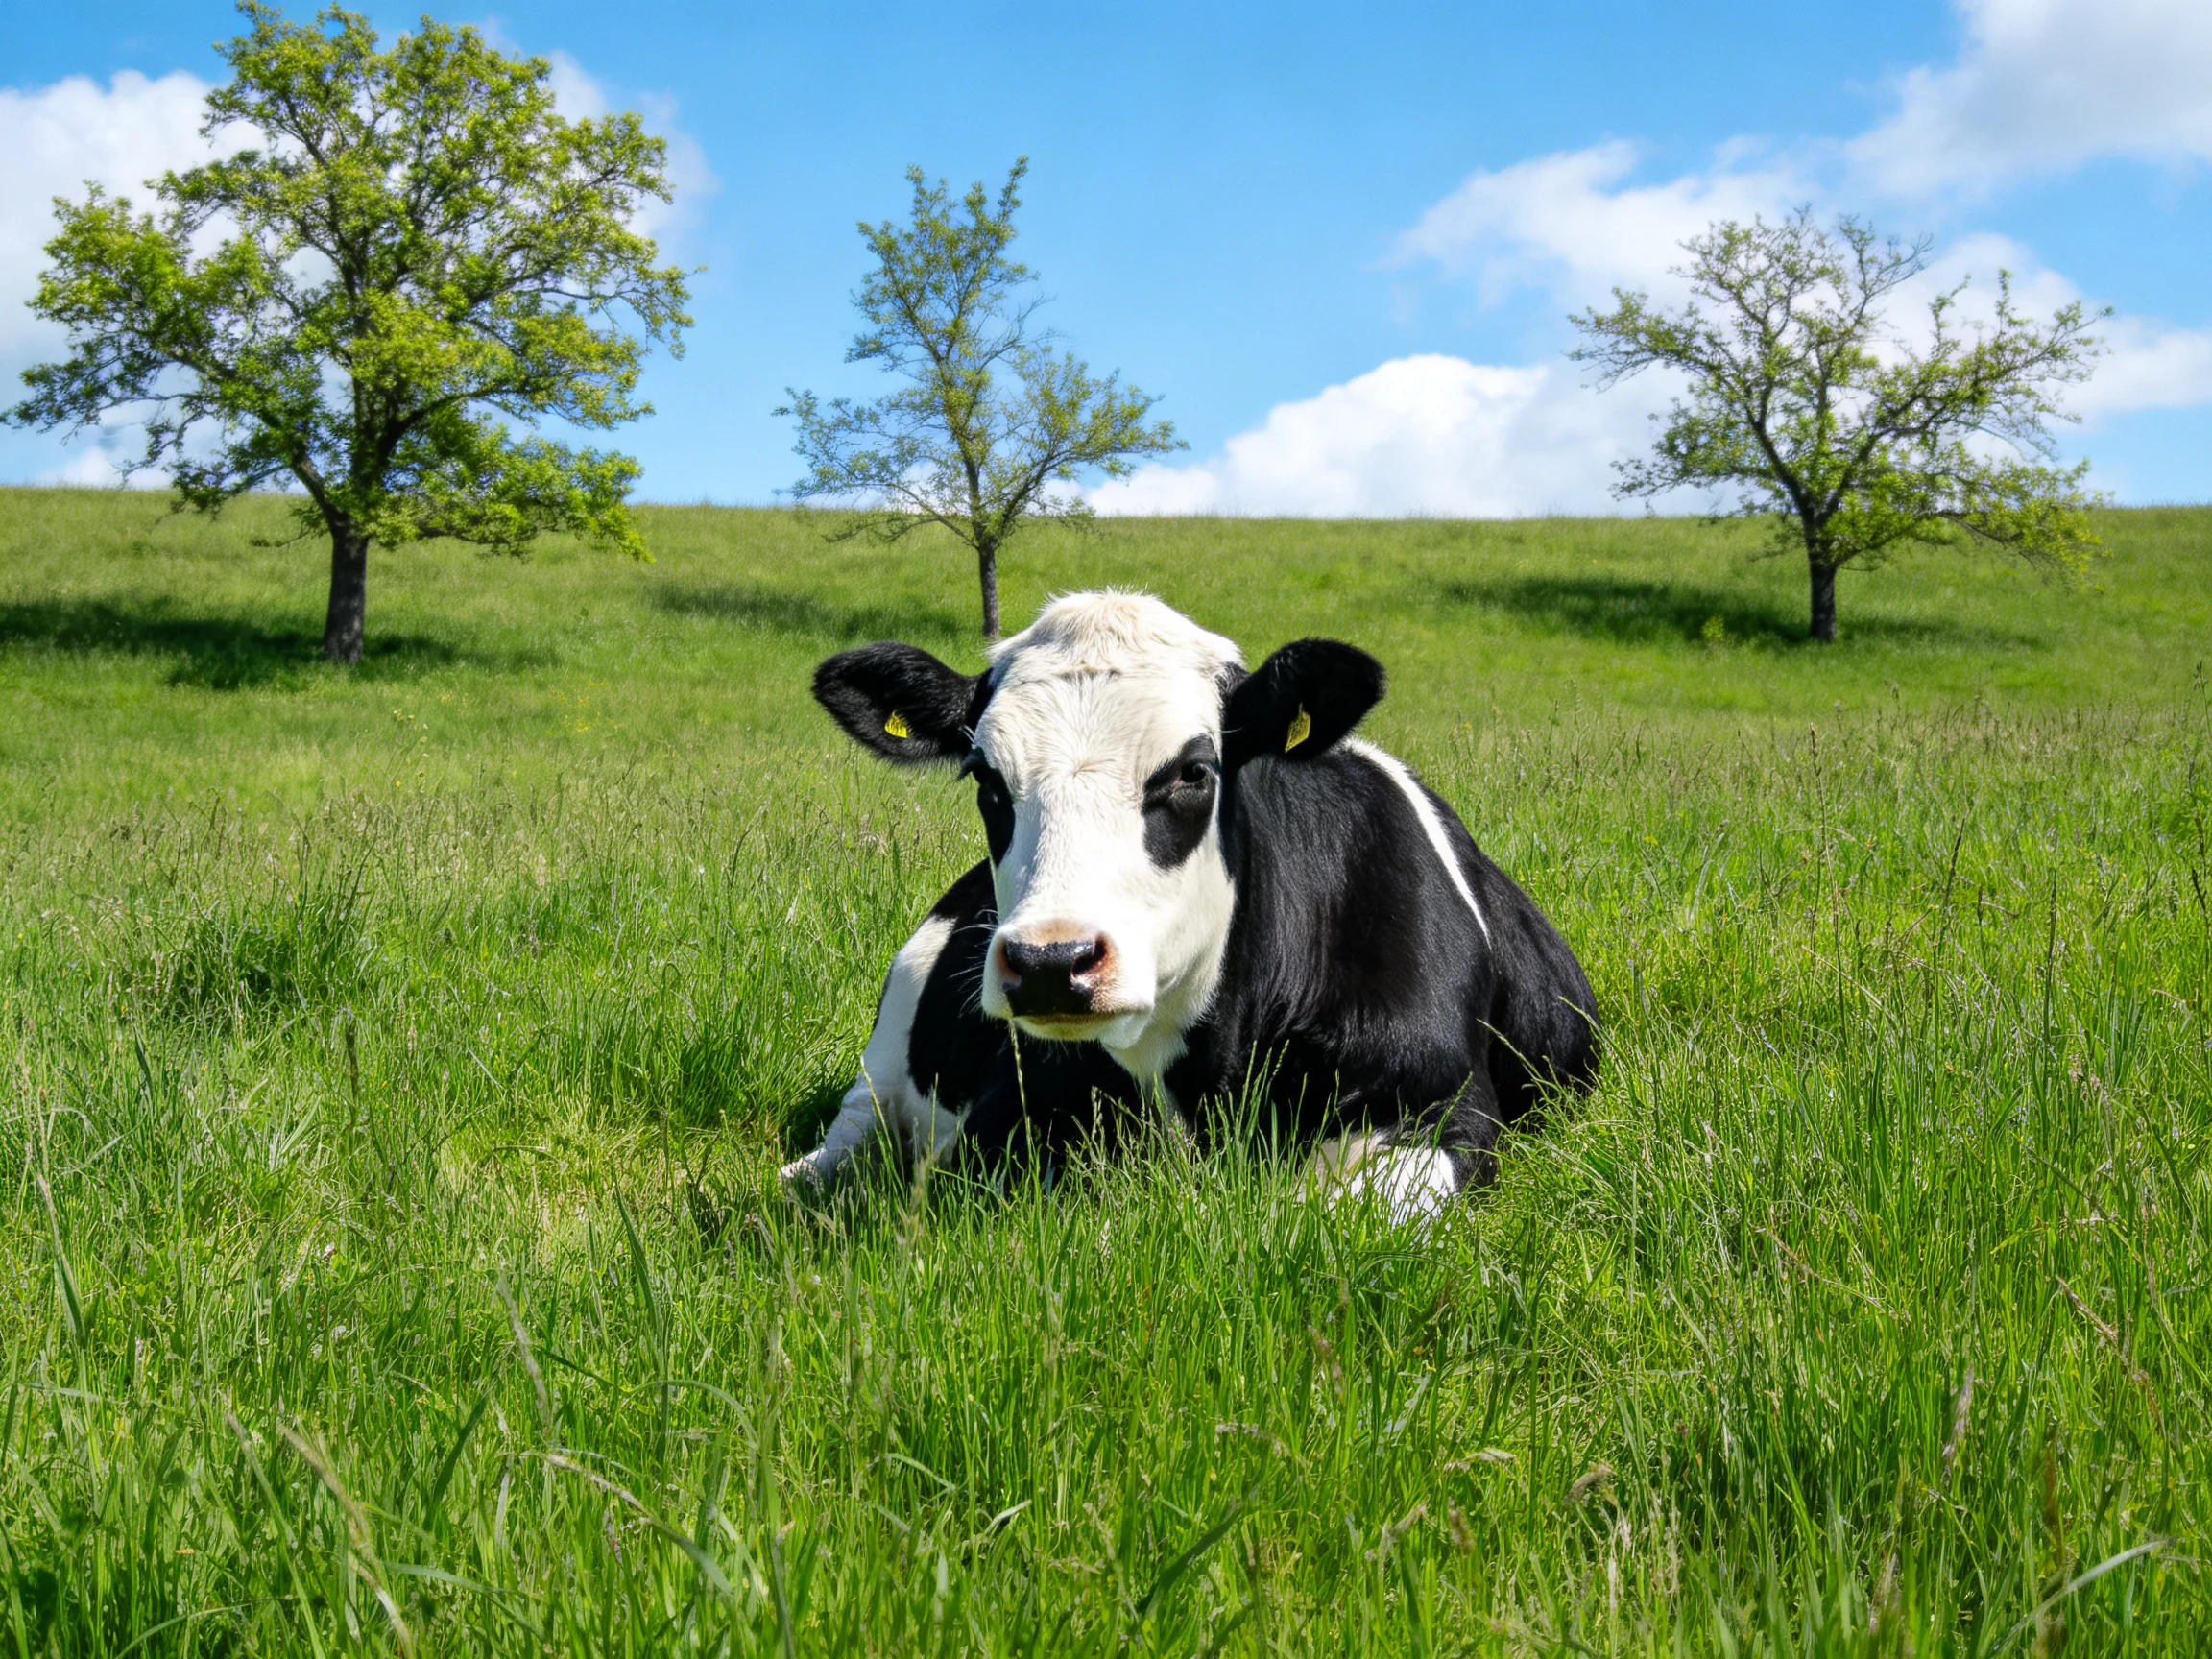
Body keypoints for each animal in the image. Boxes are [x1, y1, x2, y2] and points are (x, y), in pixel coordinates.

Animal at [780, 591, 1598, 1217]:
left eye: (1193, 773)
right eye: (987, 777)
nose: (1051, 960)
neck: (1207, 1076)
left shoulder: (1446, 1112)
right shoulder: (999, 1121)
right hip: (893, 1025)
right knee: (856, 1125)